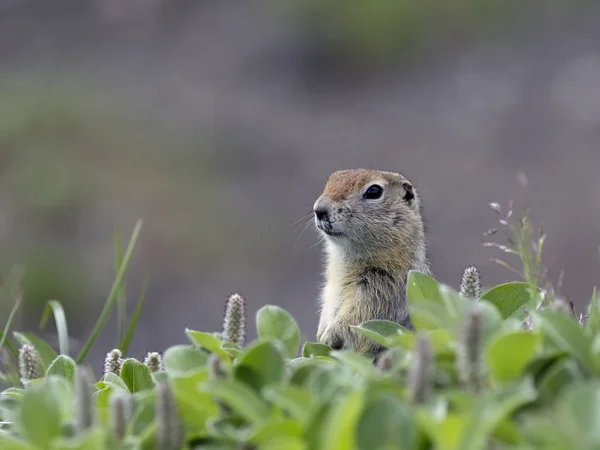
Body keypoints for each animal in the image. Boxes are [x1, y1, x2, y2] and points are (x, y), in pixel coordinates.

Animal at [314, 169, 432, 358]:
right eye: (331, 179)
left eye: (374, 191)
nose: (319, 210)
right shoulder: (330, 289)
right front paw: (320, 332)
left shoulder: (380, 288)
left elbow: (355, 318)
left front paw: (328, 336)